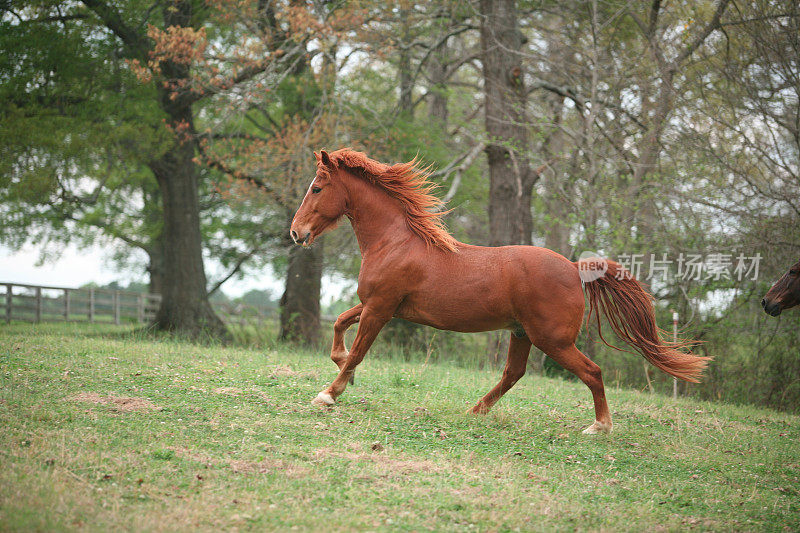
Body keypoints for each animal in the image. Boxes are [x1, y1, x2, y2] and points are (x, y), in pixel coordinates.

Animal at [290, 149, 708, 432]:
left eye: (317, 187)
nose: (296, 233)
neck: (396, 242)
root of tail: (575, 268)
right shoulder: (380, 305)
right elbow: (339, 327)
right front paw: (342, 371)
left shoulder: (380, 308)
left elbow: (358, 350)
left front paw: (328, 394)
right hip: (522, 333)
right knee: (513, 373)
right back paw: (475, 411)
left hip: (552, 339)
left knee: (592, 371)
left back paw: (599, 426)